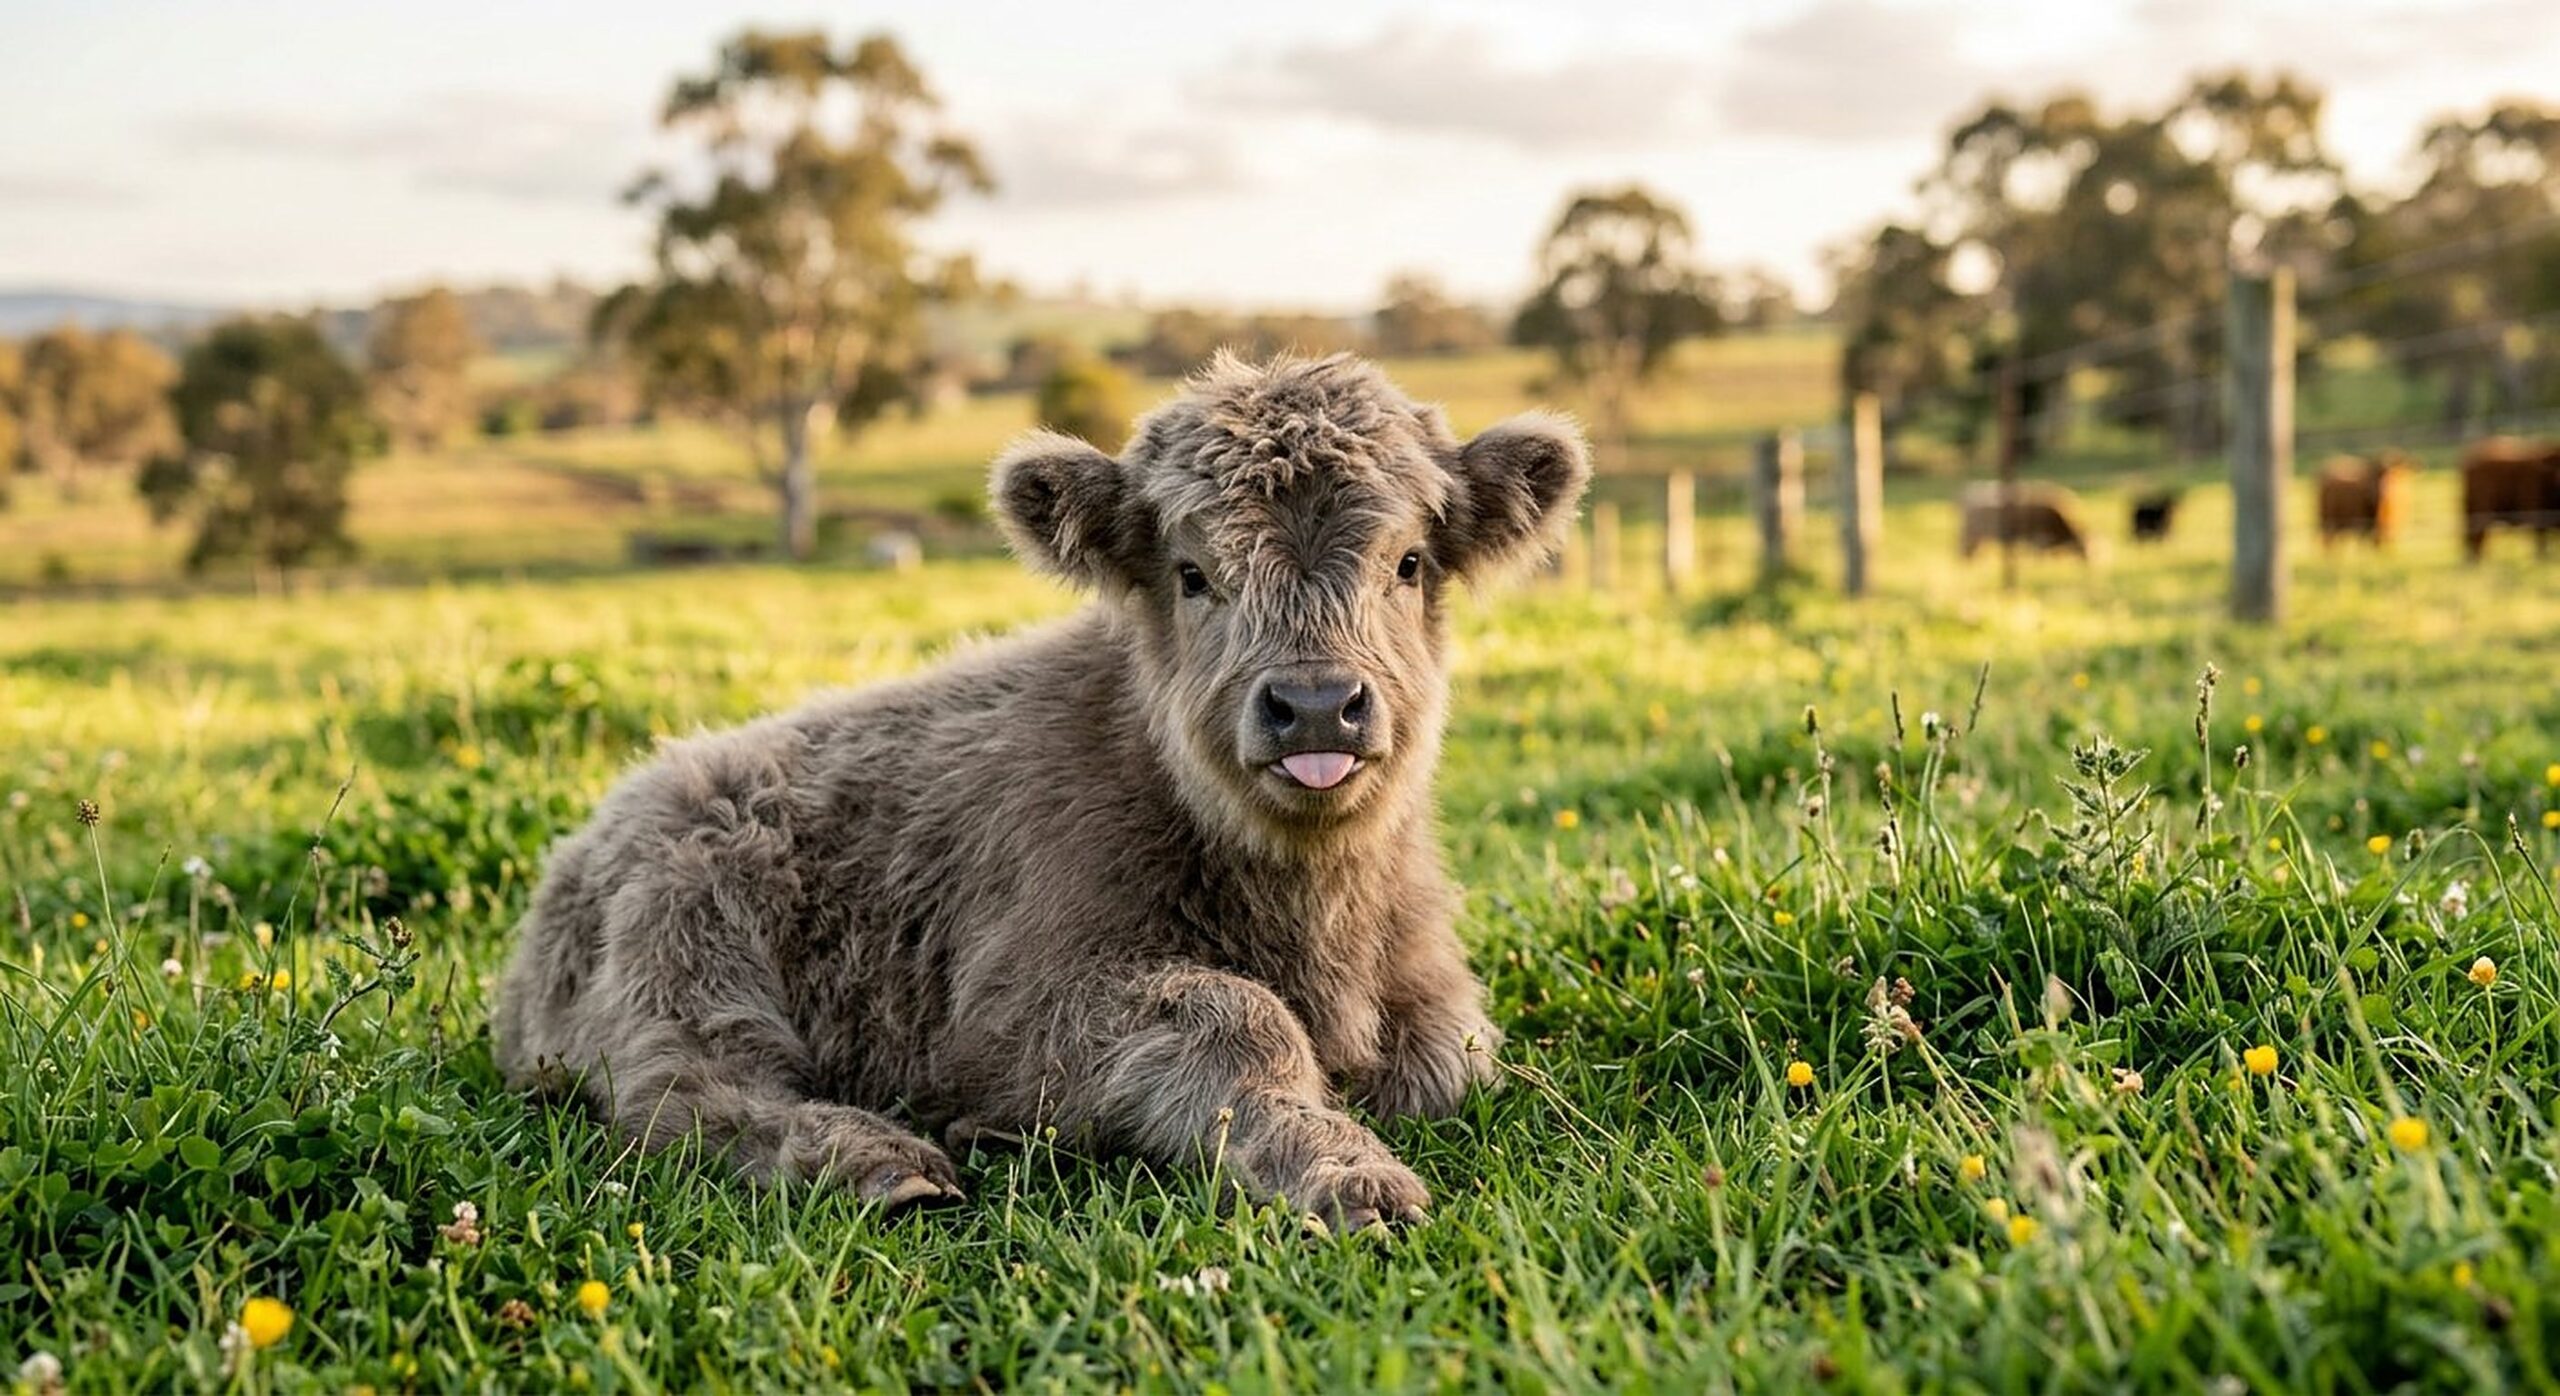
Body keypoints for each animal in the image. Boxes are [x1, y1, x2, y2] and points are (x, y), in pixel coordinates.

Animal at [493, 353, 1590, 1227]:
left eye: (1407, 562)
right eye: (1192, 574)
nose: (1316, 706)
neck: (1315, 913)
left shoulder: (1433, 999)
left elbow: (1451, 1056)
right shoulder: (1008, 1018)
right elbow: (1235, 1019)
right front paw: (1350, 1176)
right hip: (686, 952)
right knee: (687, 1091)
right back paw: (886, 1162)